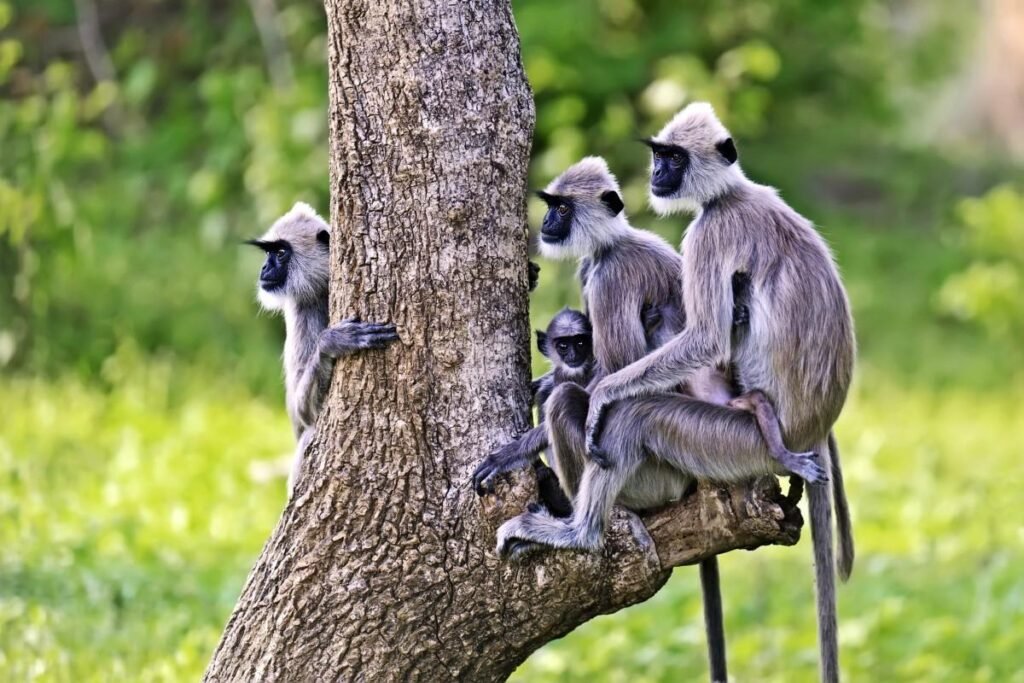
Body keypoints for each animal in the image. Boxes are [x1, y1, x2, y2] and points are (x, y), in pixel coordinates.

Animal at [248, 201, 399, 496]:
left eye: (280, 253)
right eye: (269, 252)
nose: (263, 269)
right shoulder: (302, 308)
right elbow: (302, 412)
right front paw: (333, 342)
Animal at [495, 104, 855, 683]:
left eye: (561, 209)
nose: (545, 225)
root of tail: (810, 429)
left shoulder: (643, 262)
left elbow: (635, 366)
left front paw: (535, 432)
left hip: (717, 448)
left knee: (619, 415)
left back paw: (580, 527)